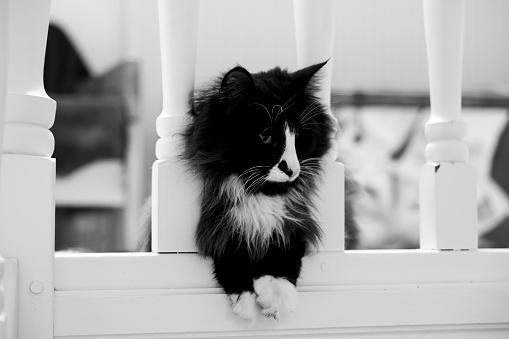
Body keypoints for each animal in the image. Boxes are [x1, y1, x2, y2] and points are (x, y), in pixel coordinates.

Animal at [139, 61, 358, 324]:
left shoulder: (295, 222)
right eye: (266, 136)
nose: (292, 169)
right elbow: (231, 249)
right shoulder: (218, 226)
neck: (259, 194)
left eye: (299, 137)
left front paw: (277, 297)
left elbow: (283, 253)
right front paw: (247, 302)